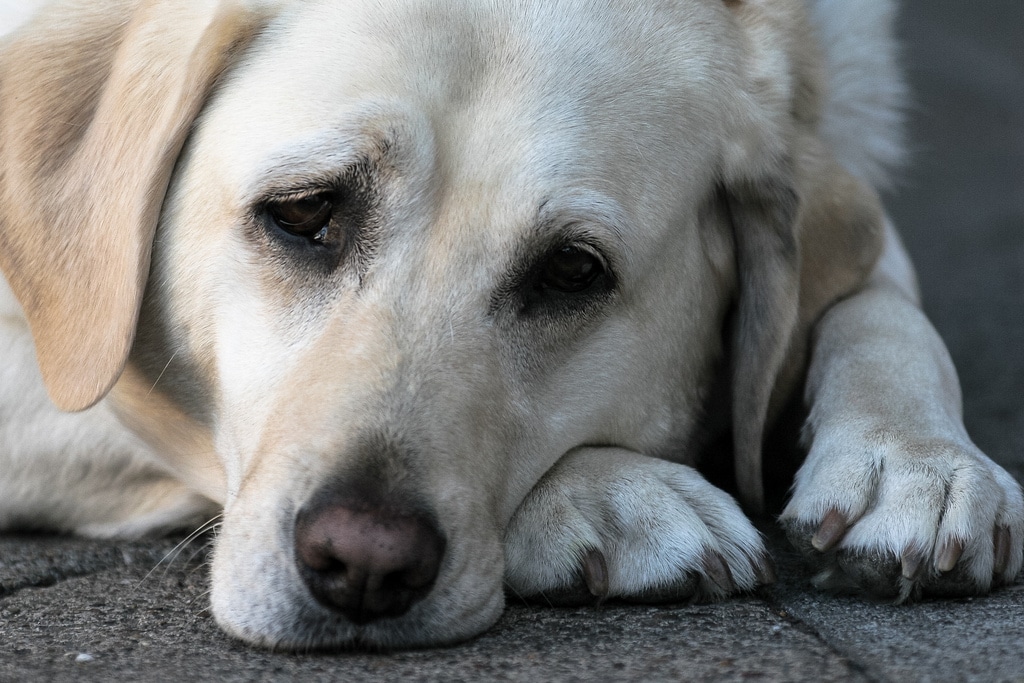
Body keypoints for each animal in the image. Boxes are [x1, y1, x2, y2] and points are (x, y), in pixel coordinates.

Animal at [0, 0, 1019, 651]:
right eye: (303, 212)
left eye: (571, 272)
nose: (361, 563)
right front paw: (615, 495)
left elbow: (884, 306)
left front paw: (915, 462)